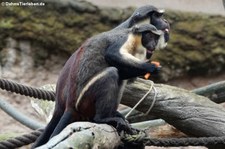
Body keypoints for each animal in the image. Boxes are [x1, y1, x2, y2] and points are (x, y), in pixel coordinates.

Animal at [32, 5, 170, 147]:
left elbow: (123, 73)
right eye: (149, 36)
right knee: (112, 73)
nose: (165, 21)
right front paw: (151, 68)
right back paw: (103, 118)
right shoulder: (123, 39)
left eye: (155, 38)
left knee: (120, 78)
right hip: (85, 99)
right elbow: (112, 55)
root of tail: (69, 105)